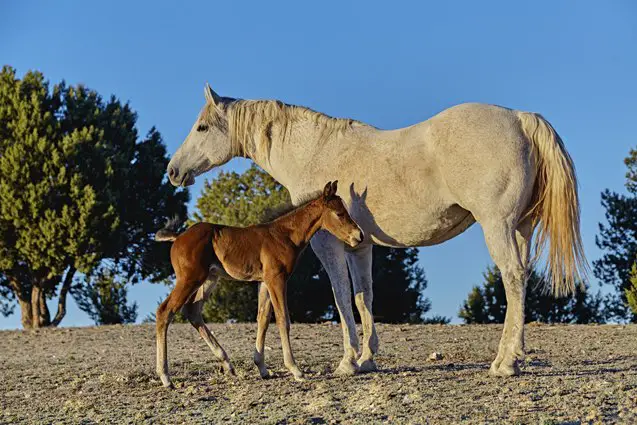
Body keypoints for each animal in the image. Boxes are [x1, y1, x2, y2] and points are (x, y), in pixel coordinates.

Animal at [155, 181, 362, 386]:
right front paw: (295, 370)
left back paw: (227, 364)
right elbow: (283, 319)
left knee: (193, 311)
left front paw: (262, 368)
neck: (285, 235)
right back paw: (165, 377)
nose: (358, 236)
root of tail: (178, 238)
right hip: (190, 279)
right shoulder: (276, 279)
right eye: (339, 213)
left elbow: (263, 319)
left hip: (209, 279)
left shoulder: (264, 282)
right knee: (165, 311)